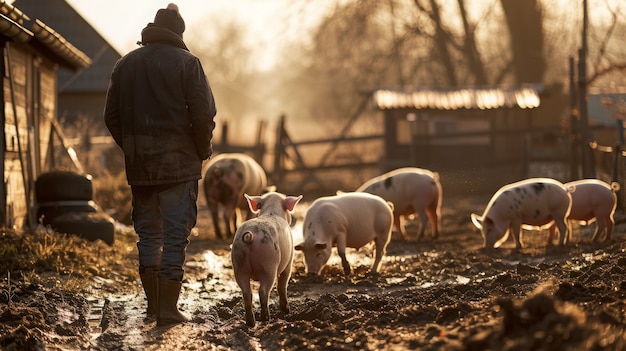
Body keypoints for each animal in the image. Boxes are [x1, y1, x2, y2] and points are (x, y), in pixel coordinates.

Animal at [233, 192, 304, 328]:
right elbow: (282, 286)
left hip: (239, 265)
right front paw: (286, 311)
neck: (272, 212)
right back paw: (266, 318)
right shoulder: (289, 263)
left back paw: (251, 323)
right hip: (269, 265)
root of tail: (250, 235)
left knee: (247, 293)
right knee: (263, 291)